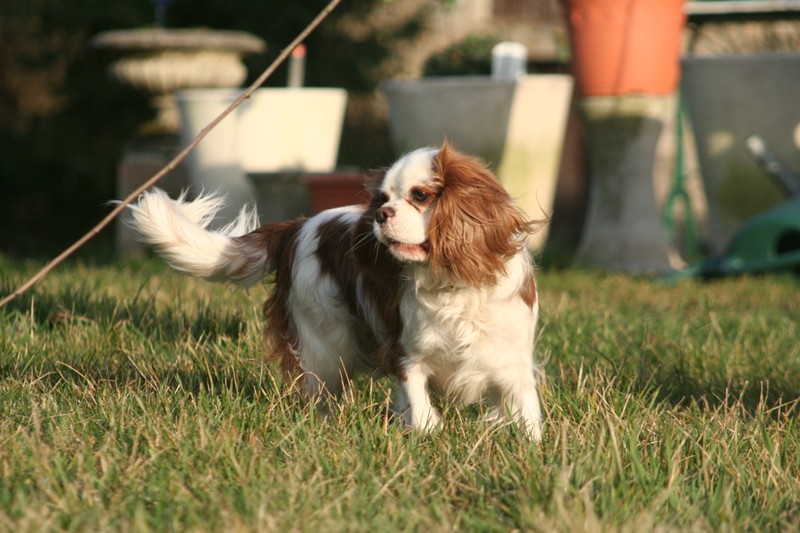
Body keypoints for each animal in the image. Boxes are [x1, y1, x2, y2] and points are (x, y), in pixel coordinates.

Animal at [126, 143, 544, 438]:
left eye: (420, 196)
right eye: (383, 199)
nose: (381, 215)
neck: (452, 283)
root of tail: (296, 227)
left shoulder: (513, 362)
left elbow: (527, 411)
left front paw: (532, 445)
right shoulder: (405, 353)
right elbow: (421, 407)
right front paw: (425, 433)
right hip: (327, 345)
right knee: (321, 390)